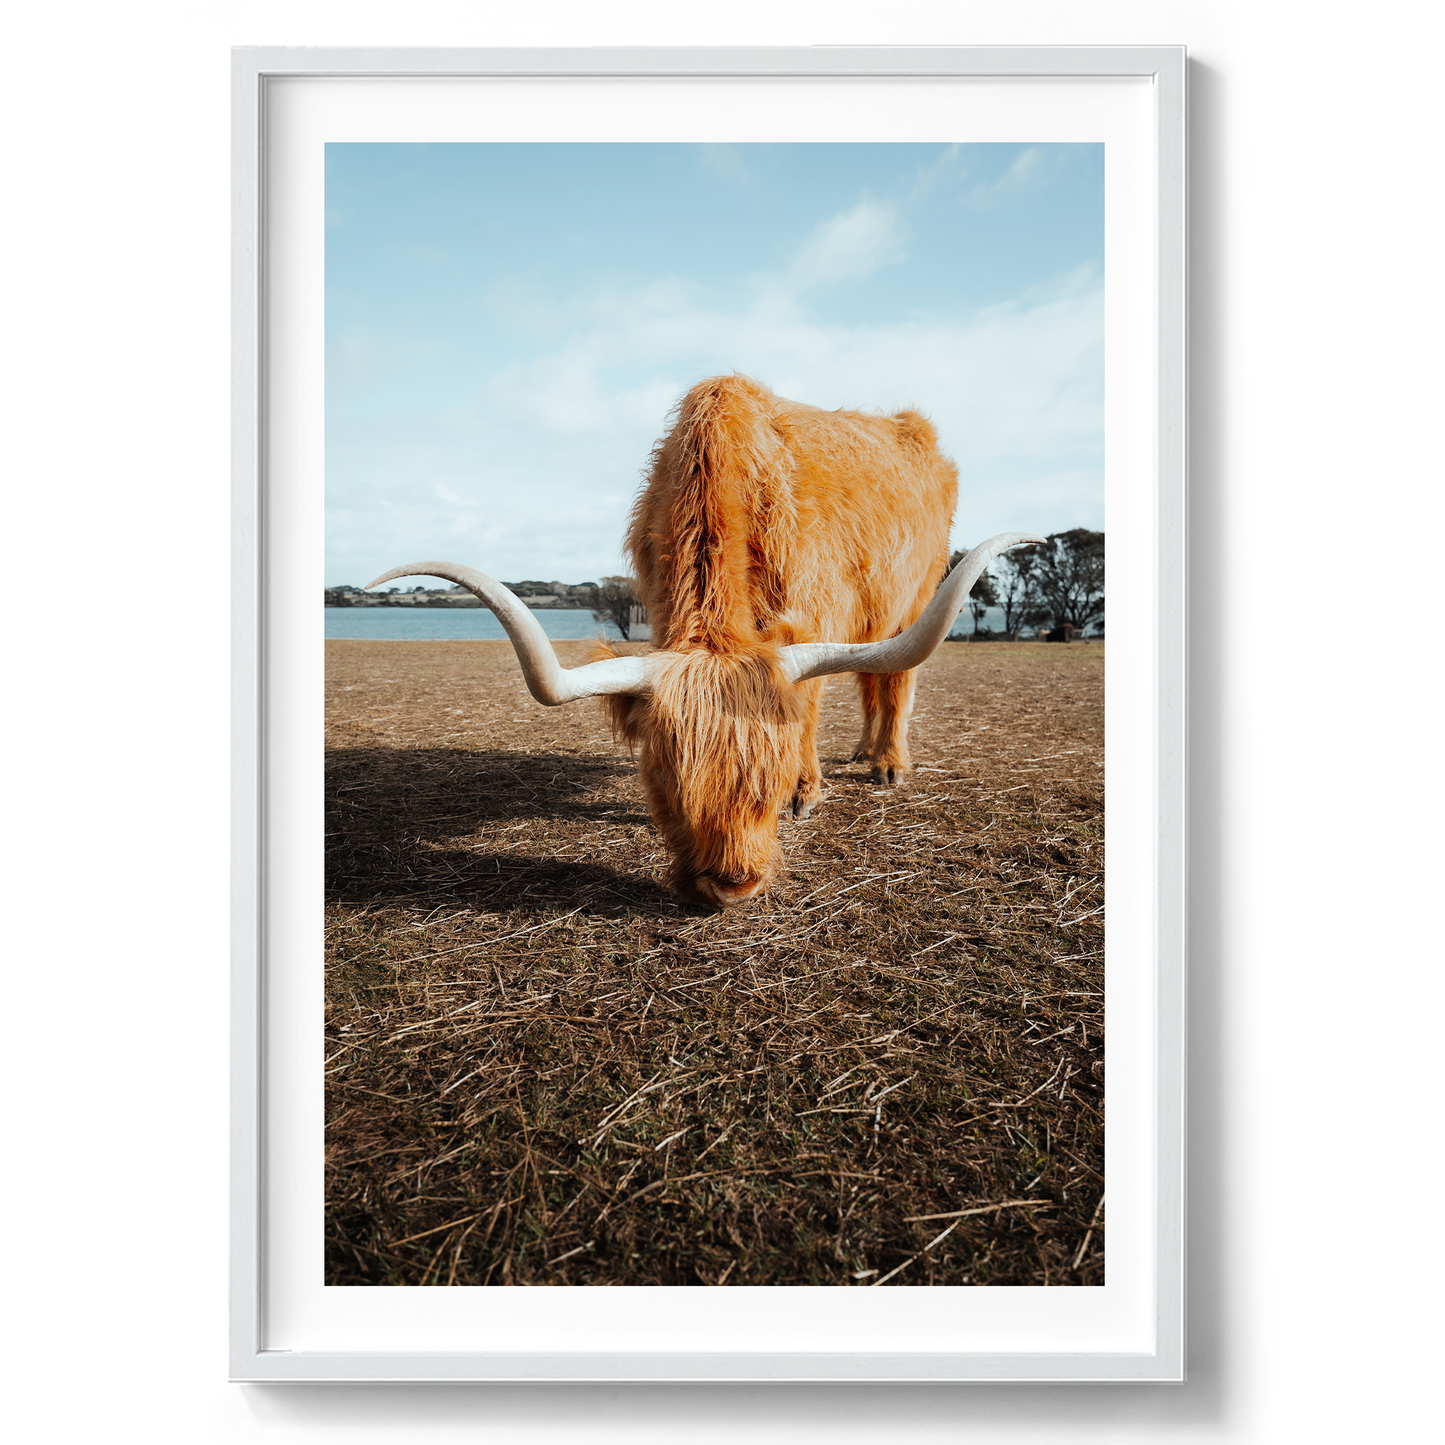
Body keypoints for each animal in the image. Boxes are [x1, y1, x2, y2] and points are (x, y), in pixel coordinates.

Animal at [368, 374, 1043, 908]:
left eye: (770, 781)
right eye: (665, 781)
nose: (732, 885)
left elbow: (810, 711)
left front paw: (807, 793)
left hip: (918, 597)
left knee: (896, 679)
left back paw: (887, 765)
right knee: (873, 681)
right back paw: (862, 753)